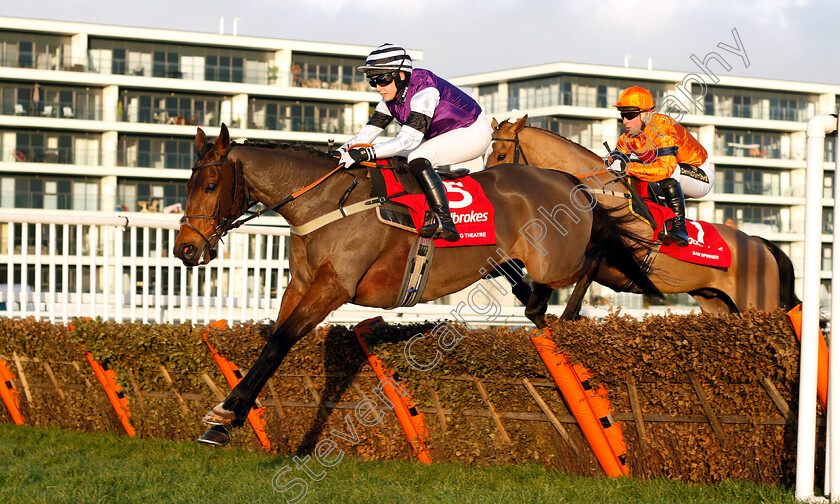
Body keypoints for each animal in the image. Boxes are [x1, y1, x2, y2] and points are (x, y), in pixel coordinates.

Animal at [172, 125, 664, 444]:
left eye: (211, 185)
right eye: (188, 183)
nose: (186, 250)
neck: (323, 203)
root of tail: (568, 179)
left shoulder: (334, 287)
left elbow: (280, 342)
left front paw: (224, 412)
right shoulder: (301, 286)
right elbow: (272, 341)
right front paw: (224, 423)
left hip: (557, 260)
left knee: (594, 255)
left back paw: (569, 313)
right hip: (509, 261)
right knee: (533, 293)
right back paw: (542, 313)